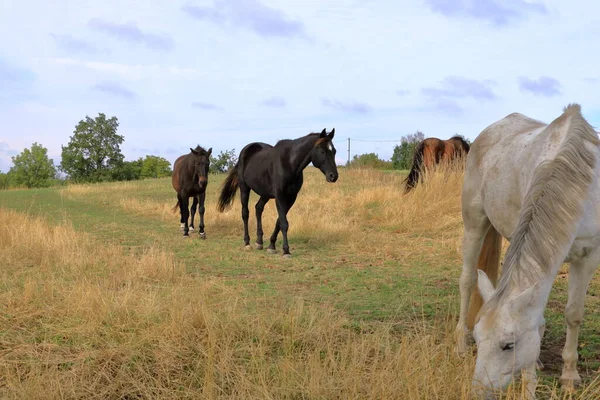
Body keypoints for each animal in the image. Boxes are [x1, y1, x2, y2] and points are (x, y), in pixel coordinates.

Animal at [216, 130, 338, 258]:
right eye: (322, 151)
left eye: (334, 151)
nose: (333, 176)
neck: (289, 163)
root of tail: (246, 150)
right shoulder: (279, 196)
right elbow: (284, 223)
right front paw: (286, 251)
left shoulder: (291, 197)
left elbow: (279, 221)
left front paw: (271, 246)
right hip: (245, 188)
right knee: (245, 213)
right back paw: (247, 243)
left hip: (265, 193)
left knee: (258, 208)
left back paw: (259, 242)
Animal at [454, 104, 600, 398]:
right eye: (479, 338)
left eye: (508, 345)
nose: (478, 392)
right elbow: (538, 320)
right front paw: (530, 380)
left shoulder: (588, 257)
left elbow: (573, 314)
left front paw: (569, 375)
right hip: (474, 224)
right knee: (467, 281)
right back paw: (460, 344)